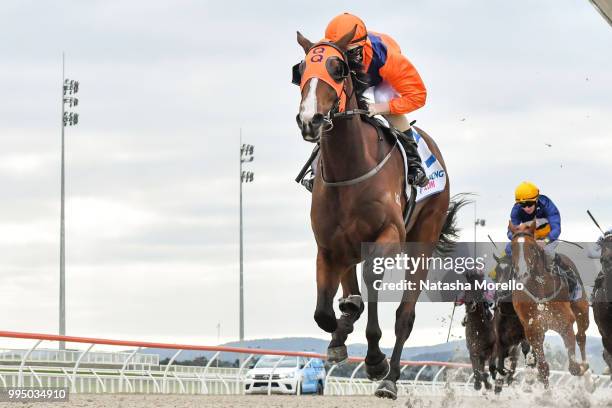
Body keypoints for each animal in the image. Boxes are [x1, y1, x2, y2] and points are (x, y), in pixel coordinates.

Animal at [292, 27, 464, 398]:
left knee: (405, 315)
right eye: (300, 69)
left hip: (423, 240)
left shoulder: (389, 236)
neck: (350, 167)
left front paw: (374, 360)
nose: (310, 120)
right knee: (350, 294)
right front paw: (339, 335)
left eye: (337, 68)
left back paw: (390, 378)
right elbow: (324, 312)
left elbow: (370, 285)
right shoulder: (328, 246)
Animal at [506, 222, 588, 388]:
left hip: (582, 311)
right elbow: (543, 369)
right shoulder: (533, 330)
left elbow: (574, 367)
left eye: (532, 247)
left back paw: (588, 379)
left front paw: (582, 369)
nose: (523, 273)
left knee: (581, 336)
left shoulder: (565, 323)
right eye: (512, 247)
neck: (540, 288)